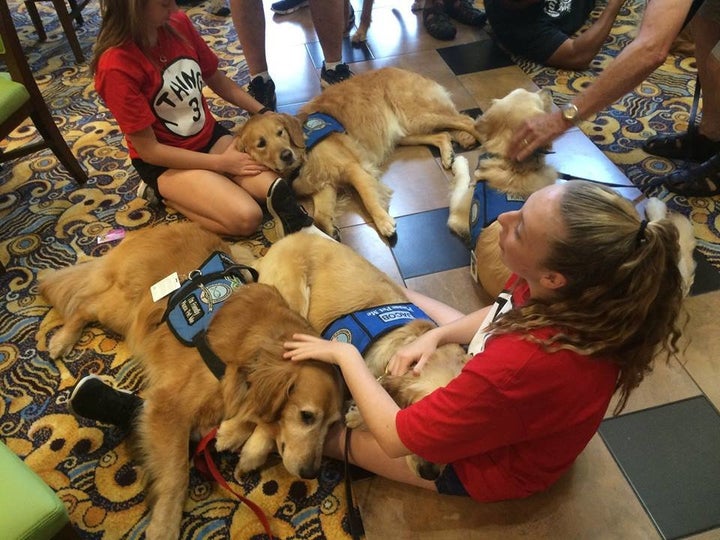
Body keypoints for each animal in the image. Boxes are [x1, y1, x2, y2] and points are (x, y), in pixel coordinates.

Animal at [37, 223, 344, 540]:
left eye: (333, 424)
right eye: (307, 416)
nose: (311, 472)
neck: (253, 353)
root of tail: (155, 229)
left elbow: (255, 416)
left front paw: (235, 434)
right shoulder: (168, 406)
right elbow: (176, 474)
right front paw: (165, 526)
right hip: (126, 310)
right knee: (84, 304)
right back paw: (62, 339)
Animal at [238, 67, 484, 240]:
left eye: (280, 132)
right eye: (261, 144)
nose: (286, 155)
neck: (304, 155)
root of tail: (401, 69)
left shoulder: (353, 169)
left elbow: (368, 198)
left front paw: (384, 222)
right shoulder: (324, 186)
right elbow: (319, 215)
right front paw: (330, 228)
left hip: (419, 116)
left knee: (467, 121)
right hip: (406, 131)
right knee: (442, 135)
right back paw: (448, 153)